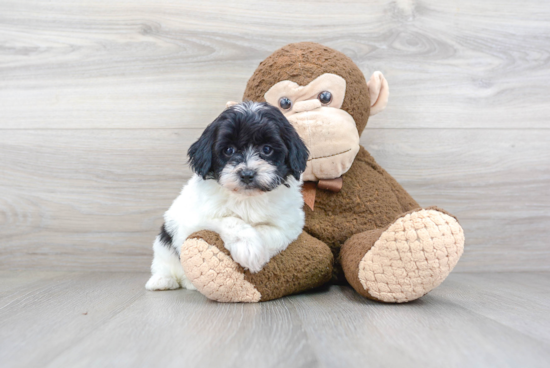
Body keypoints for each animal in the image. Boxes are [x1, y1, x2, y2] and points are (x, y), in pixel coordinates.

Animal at [147, 100, 310, 290]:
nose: (247, 174)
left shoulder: (290, 223)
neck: (247, 199)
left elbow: (269, 231)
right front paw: (247, 246)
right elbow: (229, 220)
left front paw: (255, 253)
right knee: (164, 261)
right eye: (229, 150)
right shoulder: (194, 218)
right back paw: (163, 280)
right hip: (164, 242)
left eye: (267, 149)